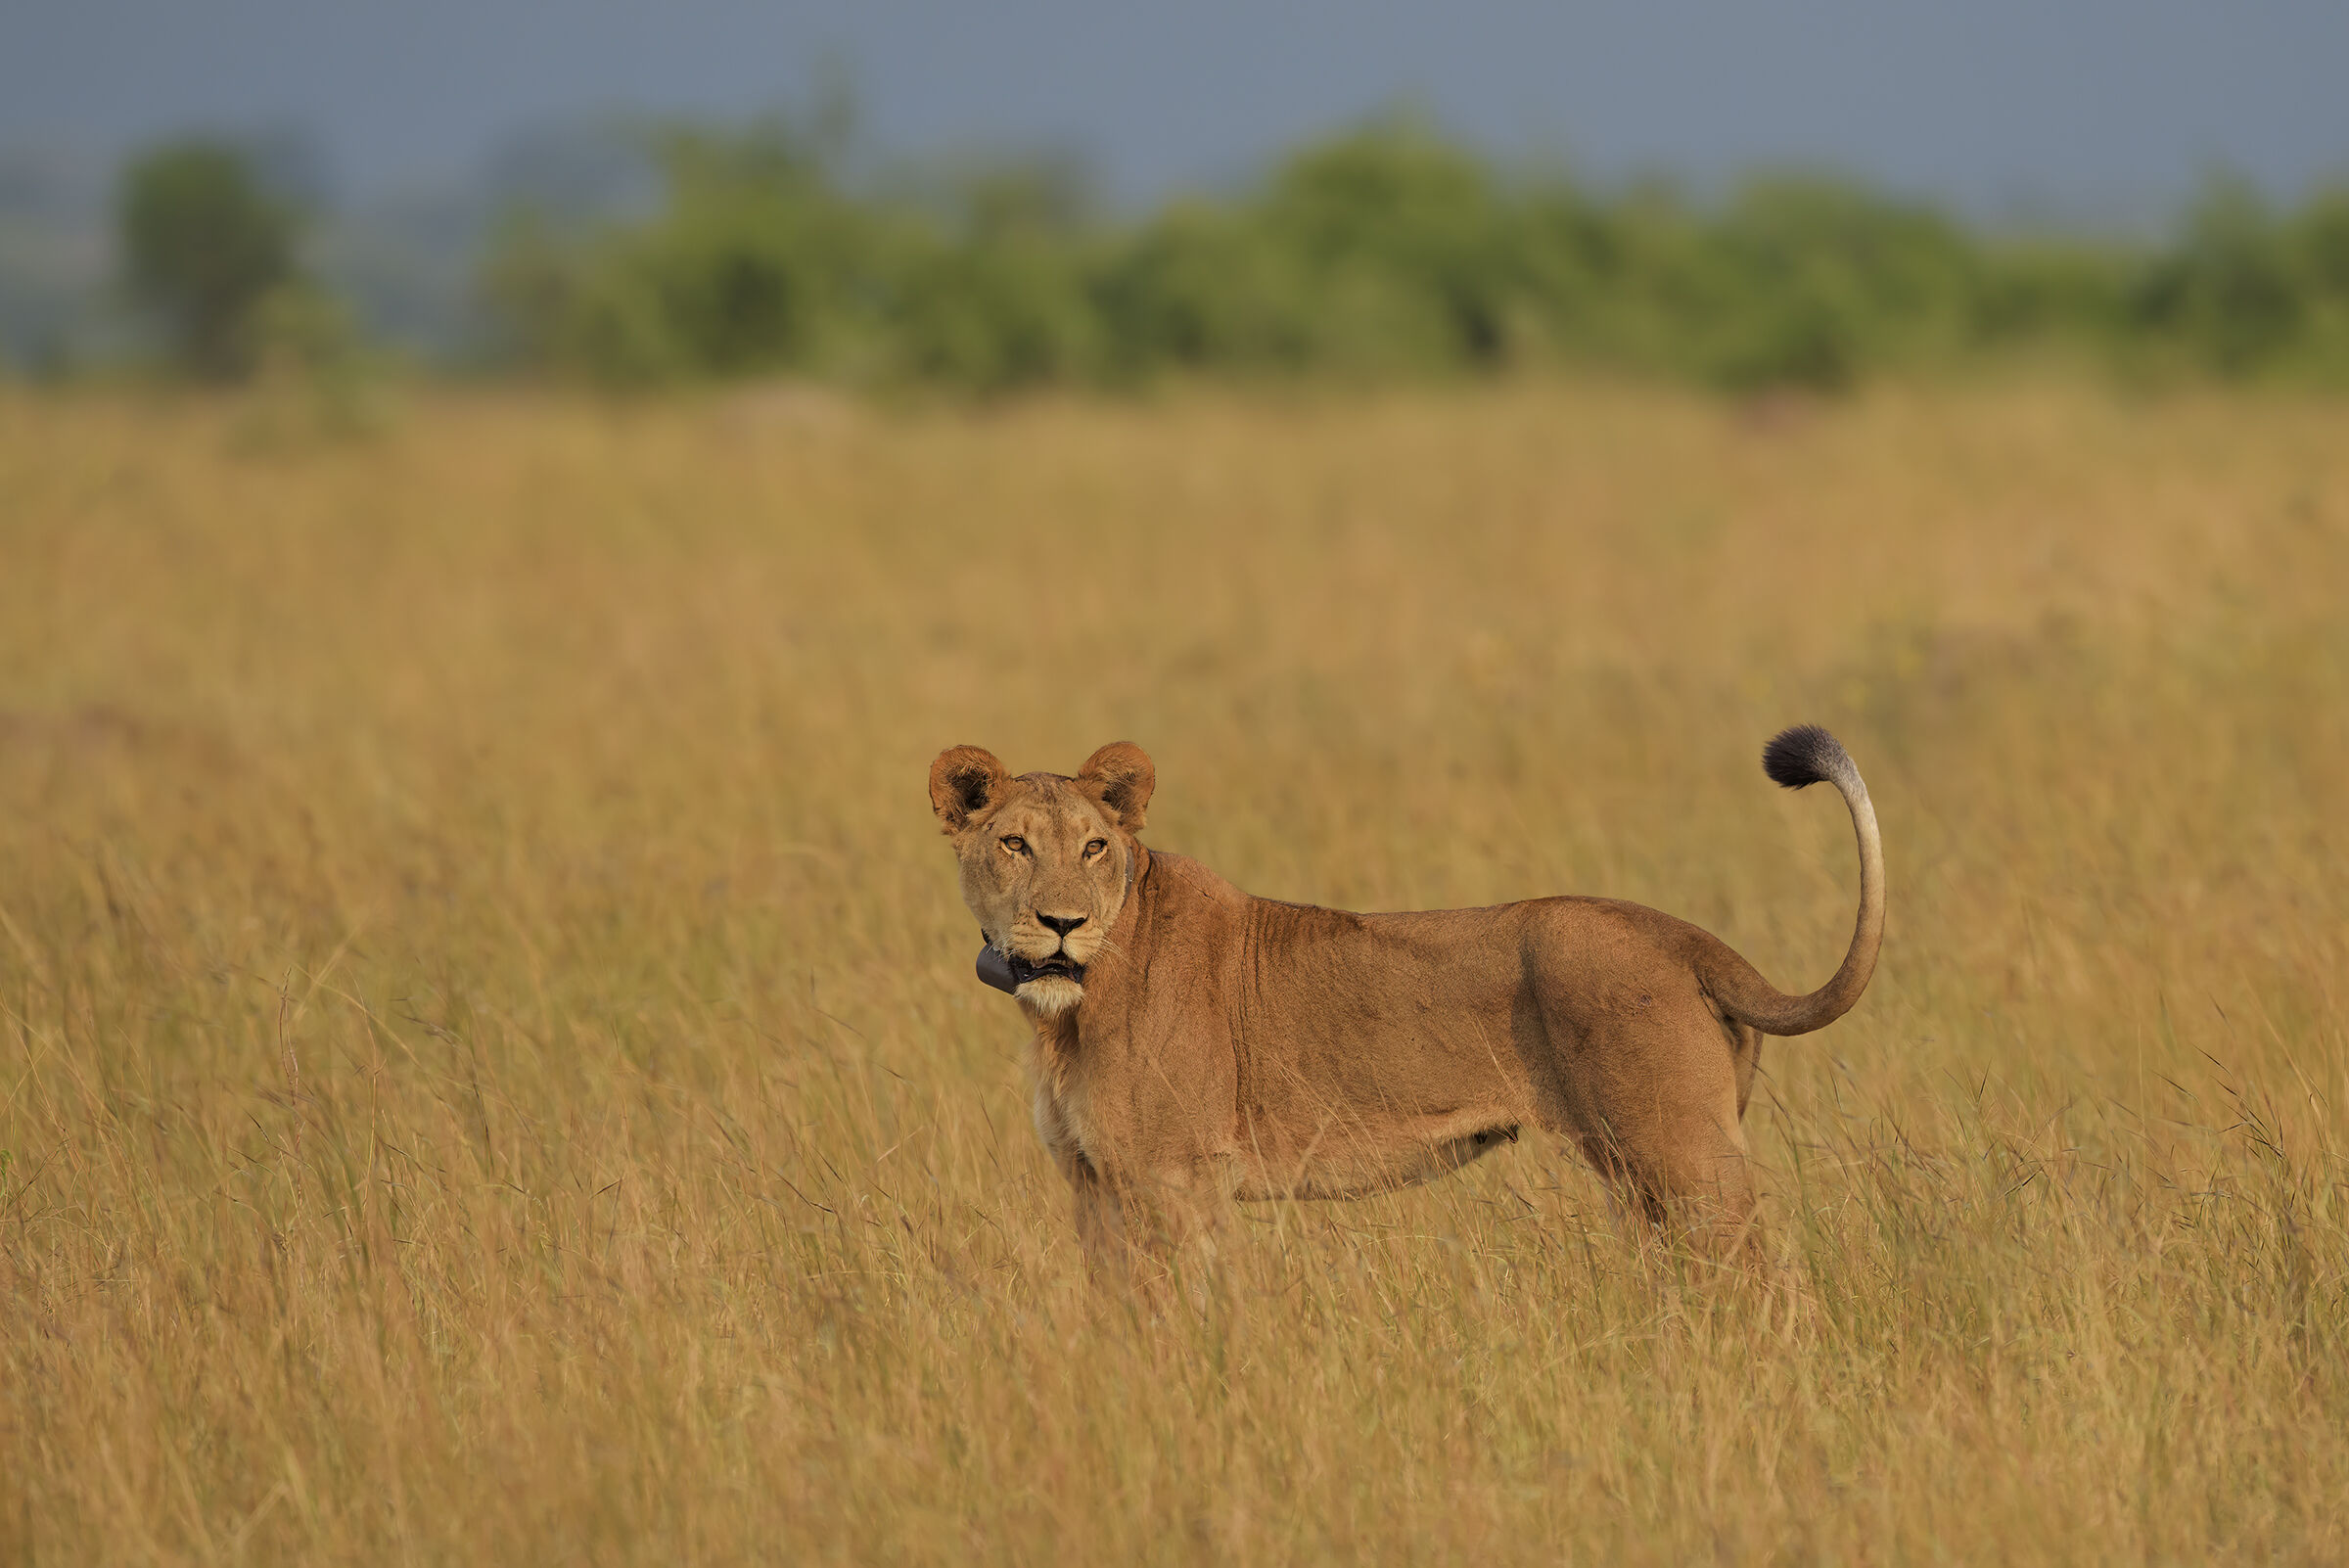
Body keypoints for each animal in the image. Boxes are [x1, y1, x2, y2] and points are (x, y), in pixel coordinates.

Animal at [928, 726, 1882, 1263]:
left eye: (1093, 848)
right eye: (1013, 844)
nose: (1061, 923)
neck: (1068, 1018)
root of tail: (1683, 934)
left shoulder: (1175, 1182)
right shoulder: (1093, 1187)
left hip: (1685, 1160)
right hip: (1638, 1175)